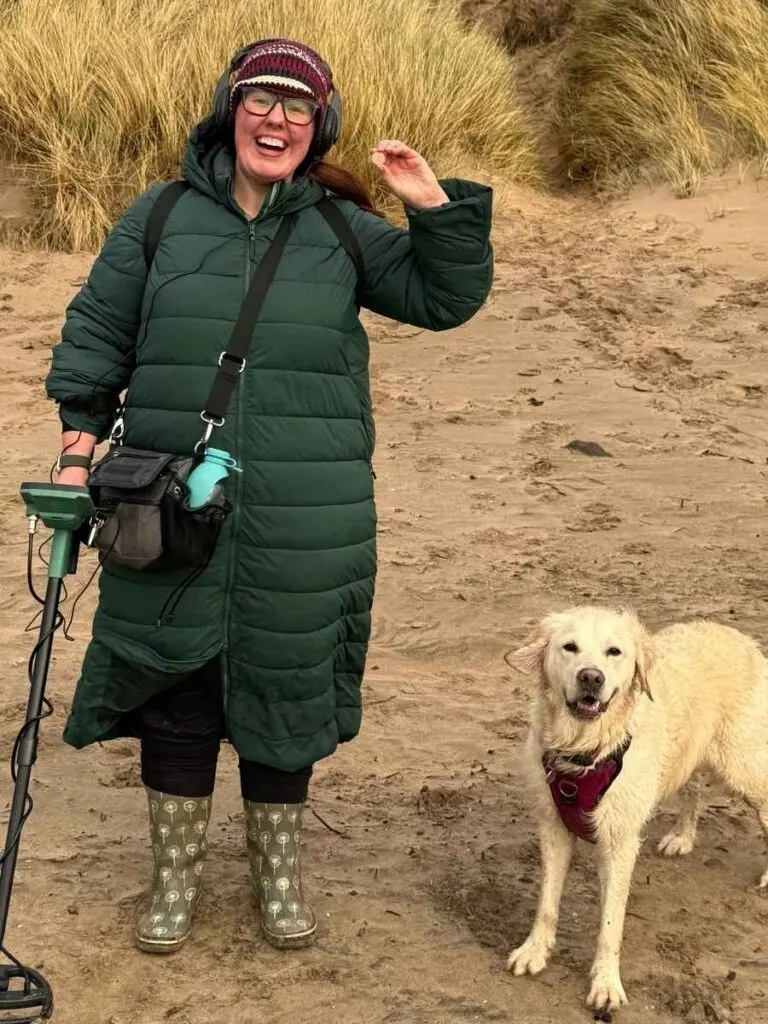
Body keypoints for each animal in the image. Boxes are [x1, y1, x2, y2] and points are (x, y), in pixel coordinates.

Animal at [507, 602, 765, 1011]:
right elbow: (546, 902)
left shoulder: (620, 841)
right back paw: (682, 836)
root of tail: (740, 637)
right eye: (569, 647)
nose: (591, 678)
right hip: (688, 754)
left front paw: (606, 984)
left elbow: (610, 925)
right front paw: (534, 951)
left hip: (743, 765)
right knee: (693, 789)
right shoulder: (553, 826)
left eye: (614, 652)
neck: (587, 749)